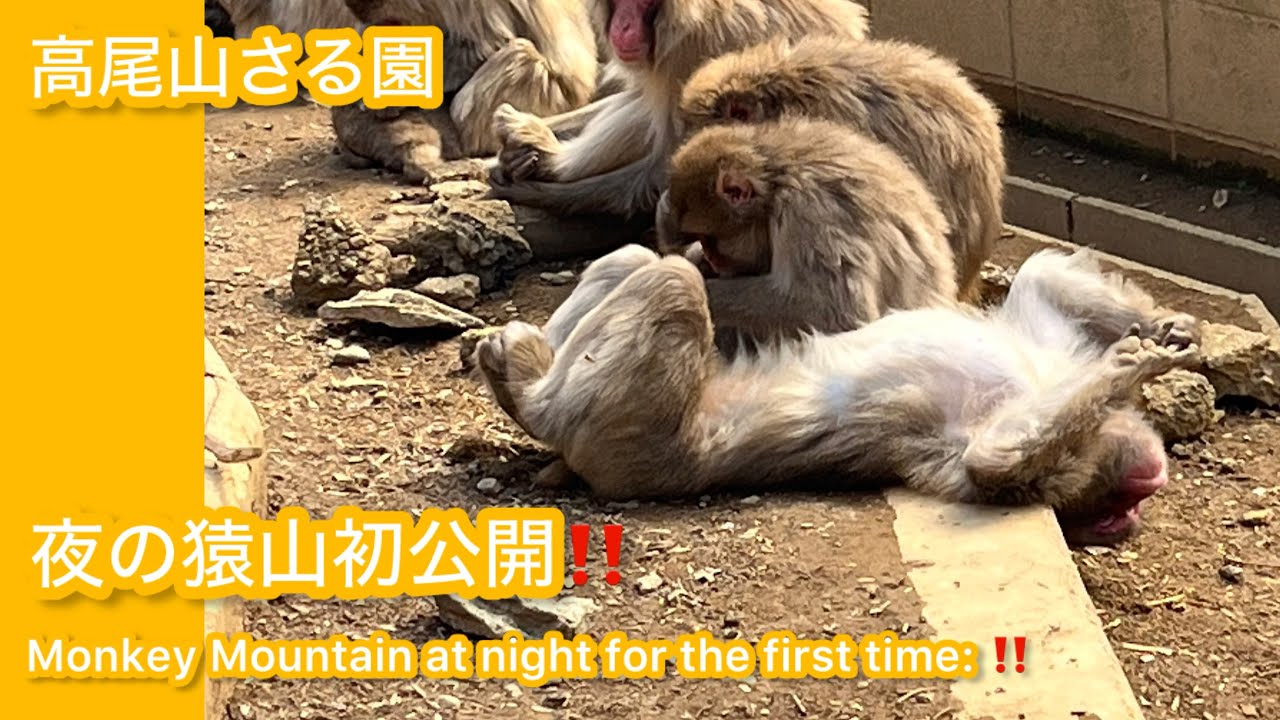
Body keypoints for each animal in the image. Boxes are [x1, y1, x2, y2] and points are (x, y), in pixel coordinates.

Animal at [475, 245, 1201, 546]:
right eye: (1132, 500)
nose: (1137, 509)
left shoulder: (1048, 469)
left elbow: (992, 462)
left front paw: (1132, 363)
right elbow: (1042, 278)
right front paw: (1163, 336)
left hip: (629, 424)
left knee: (671, 282)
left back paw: (522, 385)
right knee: (641, 260)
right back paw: (515, 358)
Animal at [656, 118, 958, 341]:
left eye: (711, 240)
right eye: (702, 240)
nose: (711, 258)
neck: (776, 181)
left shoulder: (809, 213)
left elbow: (834, 312)